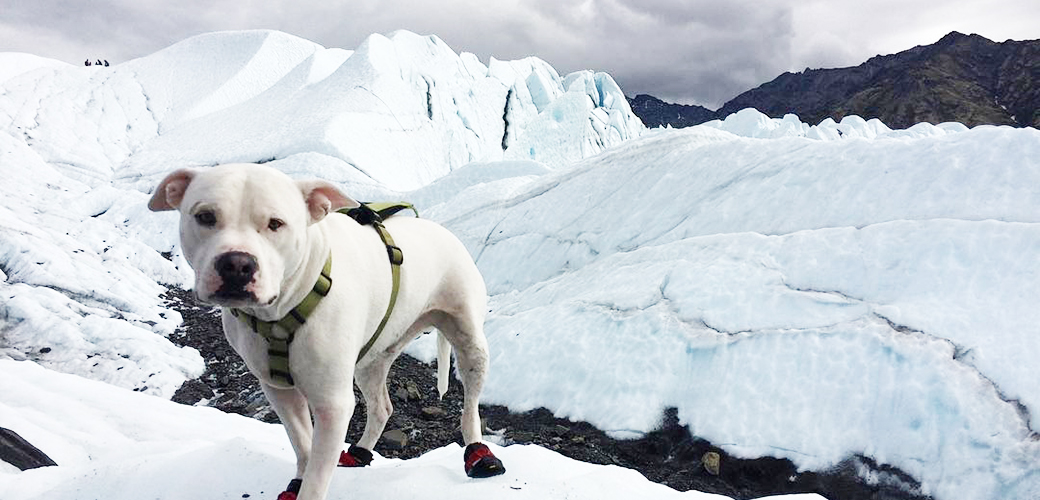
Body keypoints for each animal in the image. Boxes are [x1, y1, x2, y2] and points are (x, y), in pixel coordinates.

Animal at [149, 164, 503, 498]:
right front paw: (298, 480)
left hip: (470, 341)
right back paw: (360, 452)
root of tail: (442, 230)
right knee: (382, 406)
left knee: (470, 407)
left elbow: (317, 475)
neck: (281, 310)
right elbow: (304, 446)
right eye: (205, 217)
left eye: (276, 223)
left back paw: (479, 455)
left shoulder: (332, 403)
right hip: (373, 359)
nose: (237, 264)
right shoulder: (278, 390)